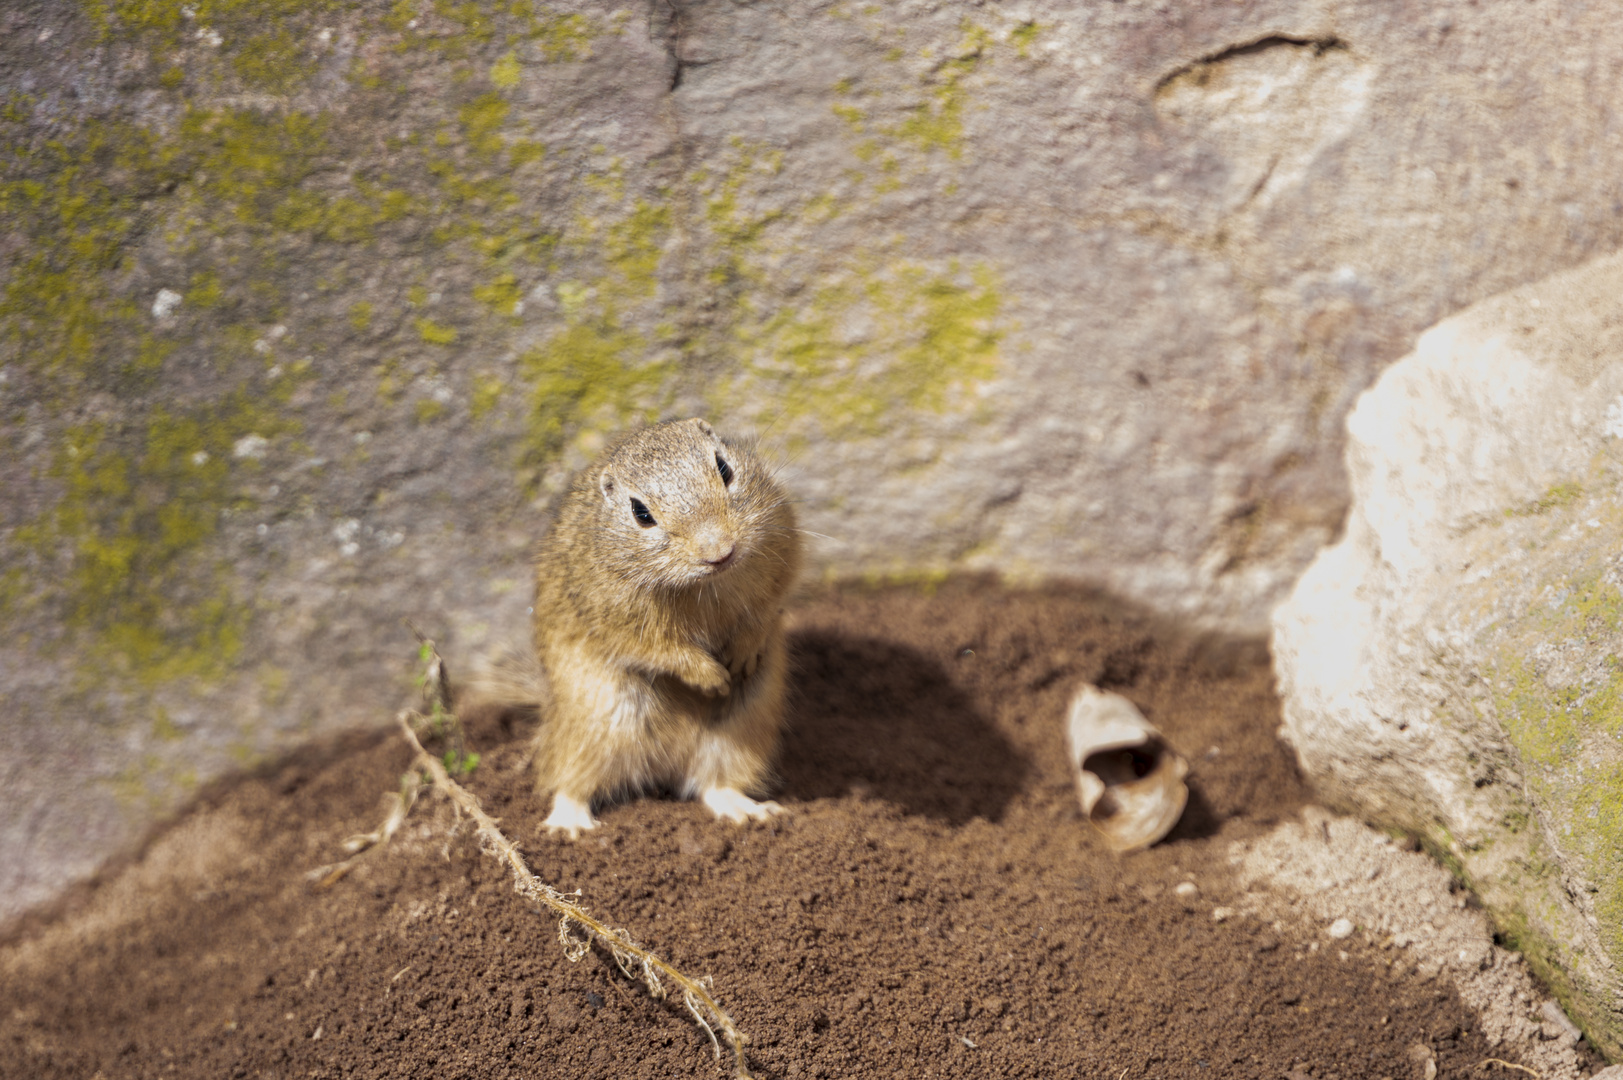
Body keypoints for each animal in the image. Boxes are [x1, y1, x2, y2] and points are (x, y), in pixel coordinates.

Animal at [522, 415, 801, 838]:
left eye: (724, 468)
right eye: (641, 513)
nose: (719, 552)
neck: (703, 584)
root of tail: (663, 768)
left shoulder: (781, 544)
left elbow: (767, 610)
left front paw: (740, 657)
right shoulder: (623, 623)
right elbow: (665, 651)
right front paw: (712, 678)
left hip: (742, 728)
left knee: (715, 784)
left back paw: (748, 812)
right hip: (594, 725)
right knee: (569, 782)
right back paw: (570, 826)